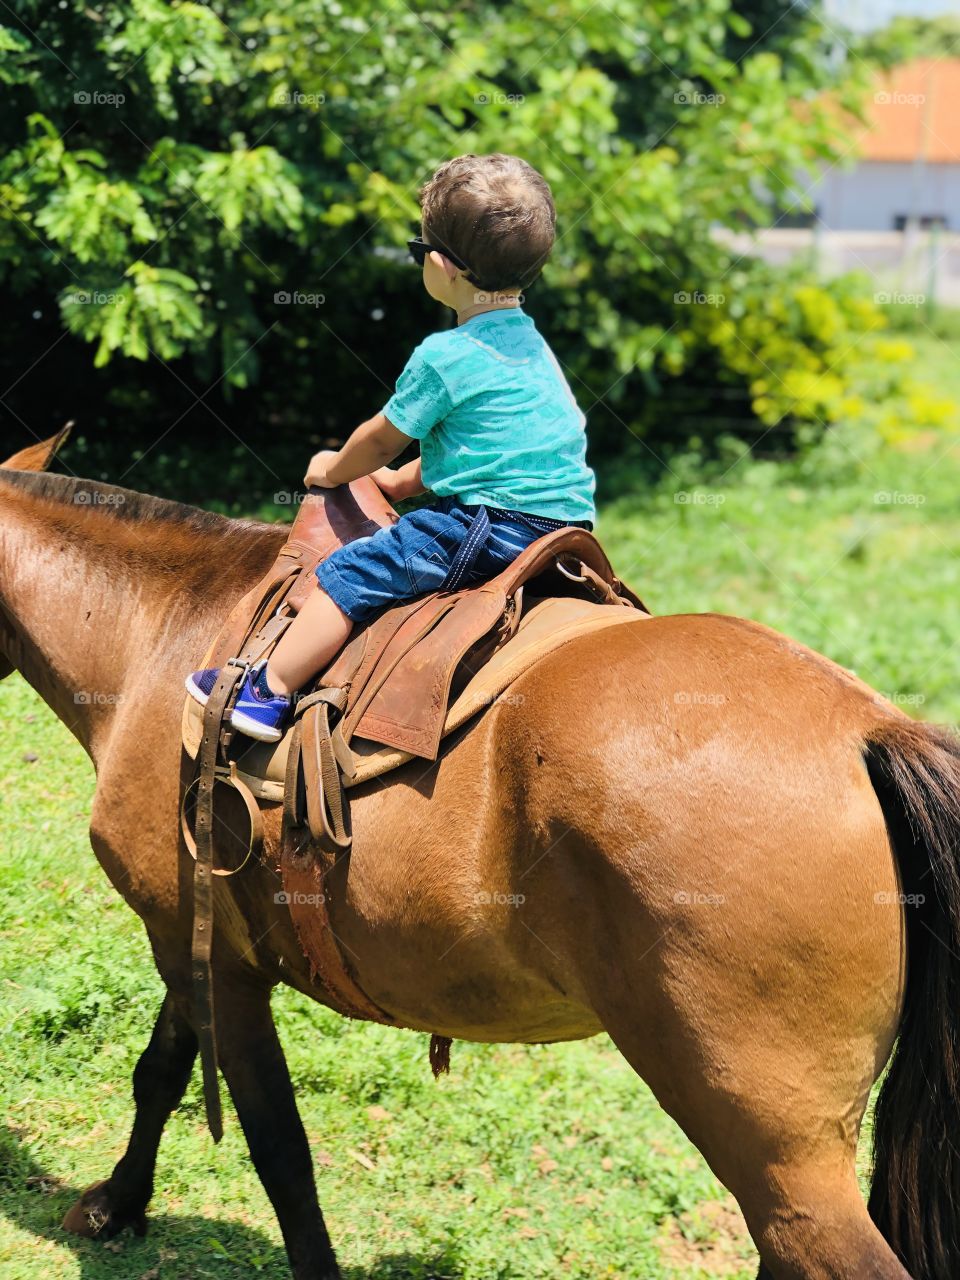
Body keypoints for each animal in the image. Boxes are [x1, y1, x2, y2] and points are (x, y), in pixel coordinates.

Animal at [1, 432, 960, 1280]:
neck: (160, 630)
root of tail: (867, 729)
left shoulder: (216, 961)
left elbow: (279, 1148)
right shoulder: (193, 935)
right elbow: (160, 1070)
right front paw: (116, 1206)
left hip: (774, 1146)